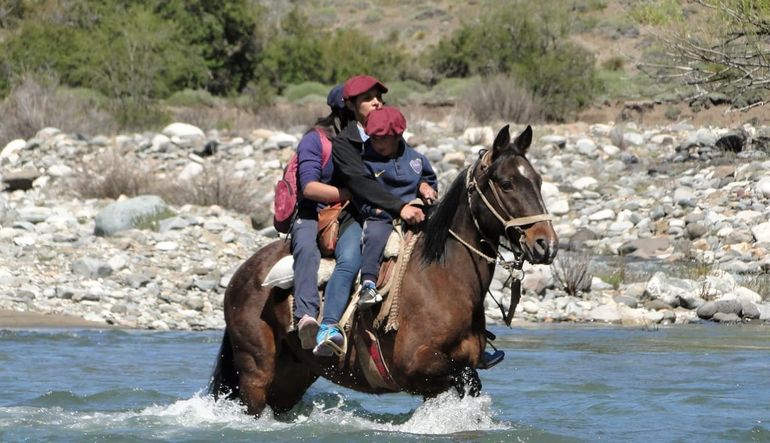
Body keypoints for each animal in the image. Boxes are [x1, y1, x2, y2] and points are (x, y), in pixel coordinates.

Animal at [208, 124, 558, 416]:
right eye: (507, 183)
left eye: (539, 181)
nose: (546, 244)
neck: (442, 277)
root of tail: (241, 274)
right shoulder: (416, 365)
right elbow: (468, 379)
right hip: (256, 371)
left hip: (292, 374)